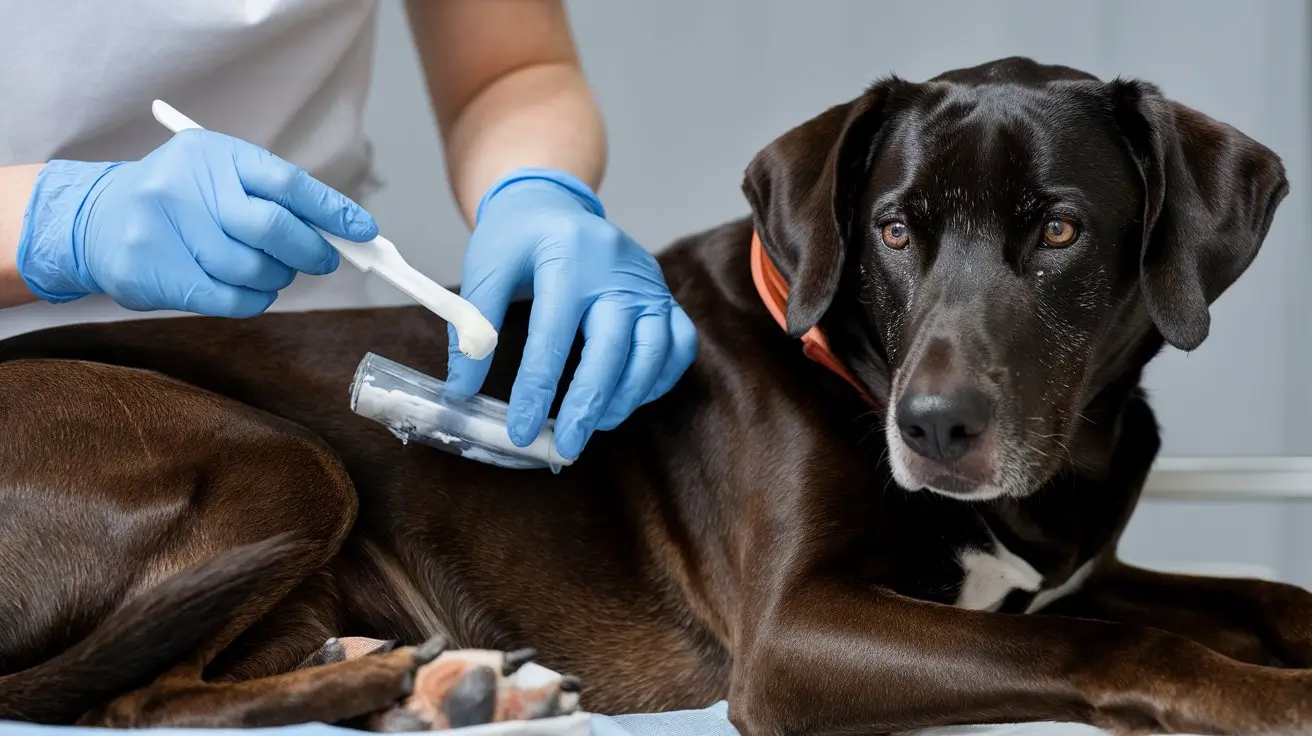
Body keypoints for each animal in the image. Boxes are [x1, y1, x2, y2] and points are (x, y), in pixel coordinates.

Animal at [2, 57, 1312, 734]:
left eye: (1058, 230)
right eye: (893, 229)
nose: (933, 430)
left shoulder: (1073, 570)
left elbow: (1246, 592)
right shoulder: (790, 642)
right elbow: (1116, 637)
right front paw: (1267, 697)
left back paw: (440, 683)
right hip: (289, 463)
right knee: (134, 704)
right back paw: (401, 679)